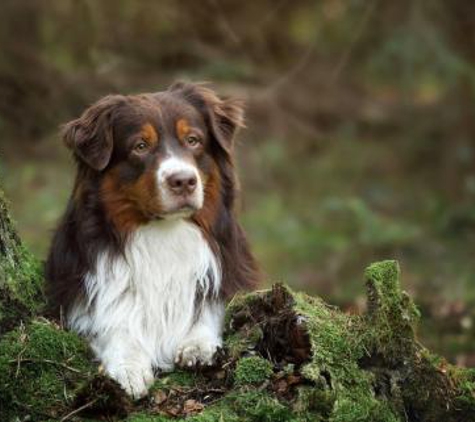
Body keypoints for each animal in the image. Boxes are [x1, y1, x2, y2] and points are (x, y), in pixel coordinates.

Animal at [44, 83, 260, 398]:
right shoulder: (82, 288)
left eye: (193, 140)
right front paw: (128, 367)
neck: (163, 231)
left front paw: (197, 343)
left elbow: (211, 304)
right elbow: (113, 322)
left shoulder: (230, 270)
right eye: (140, 146)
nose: (184, 181)